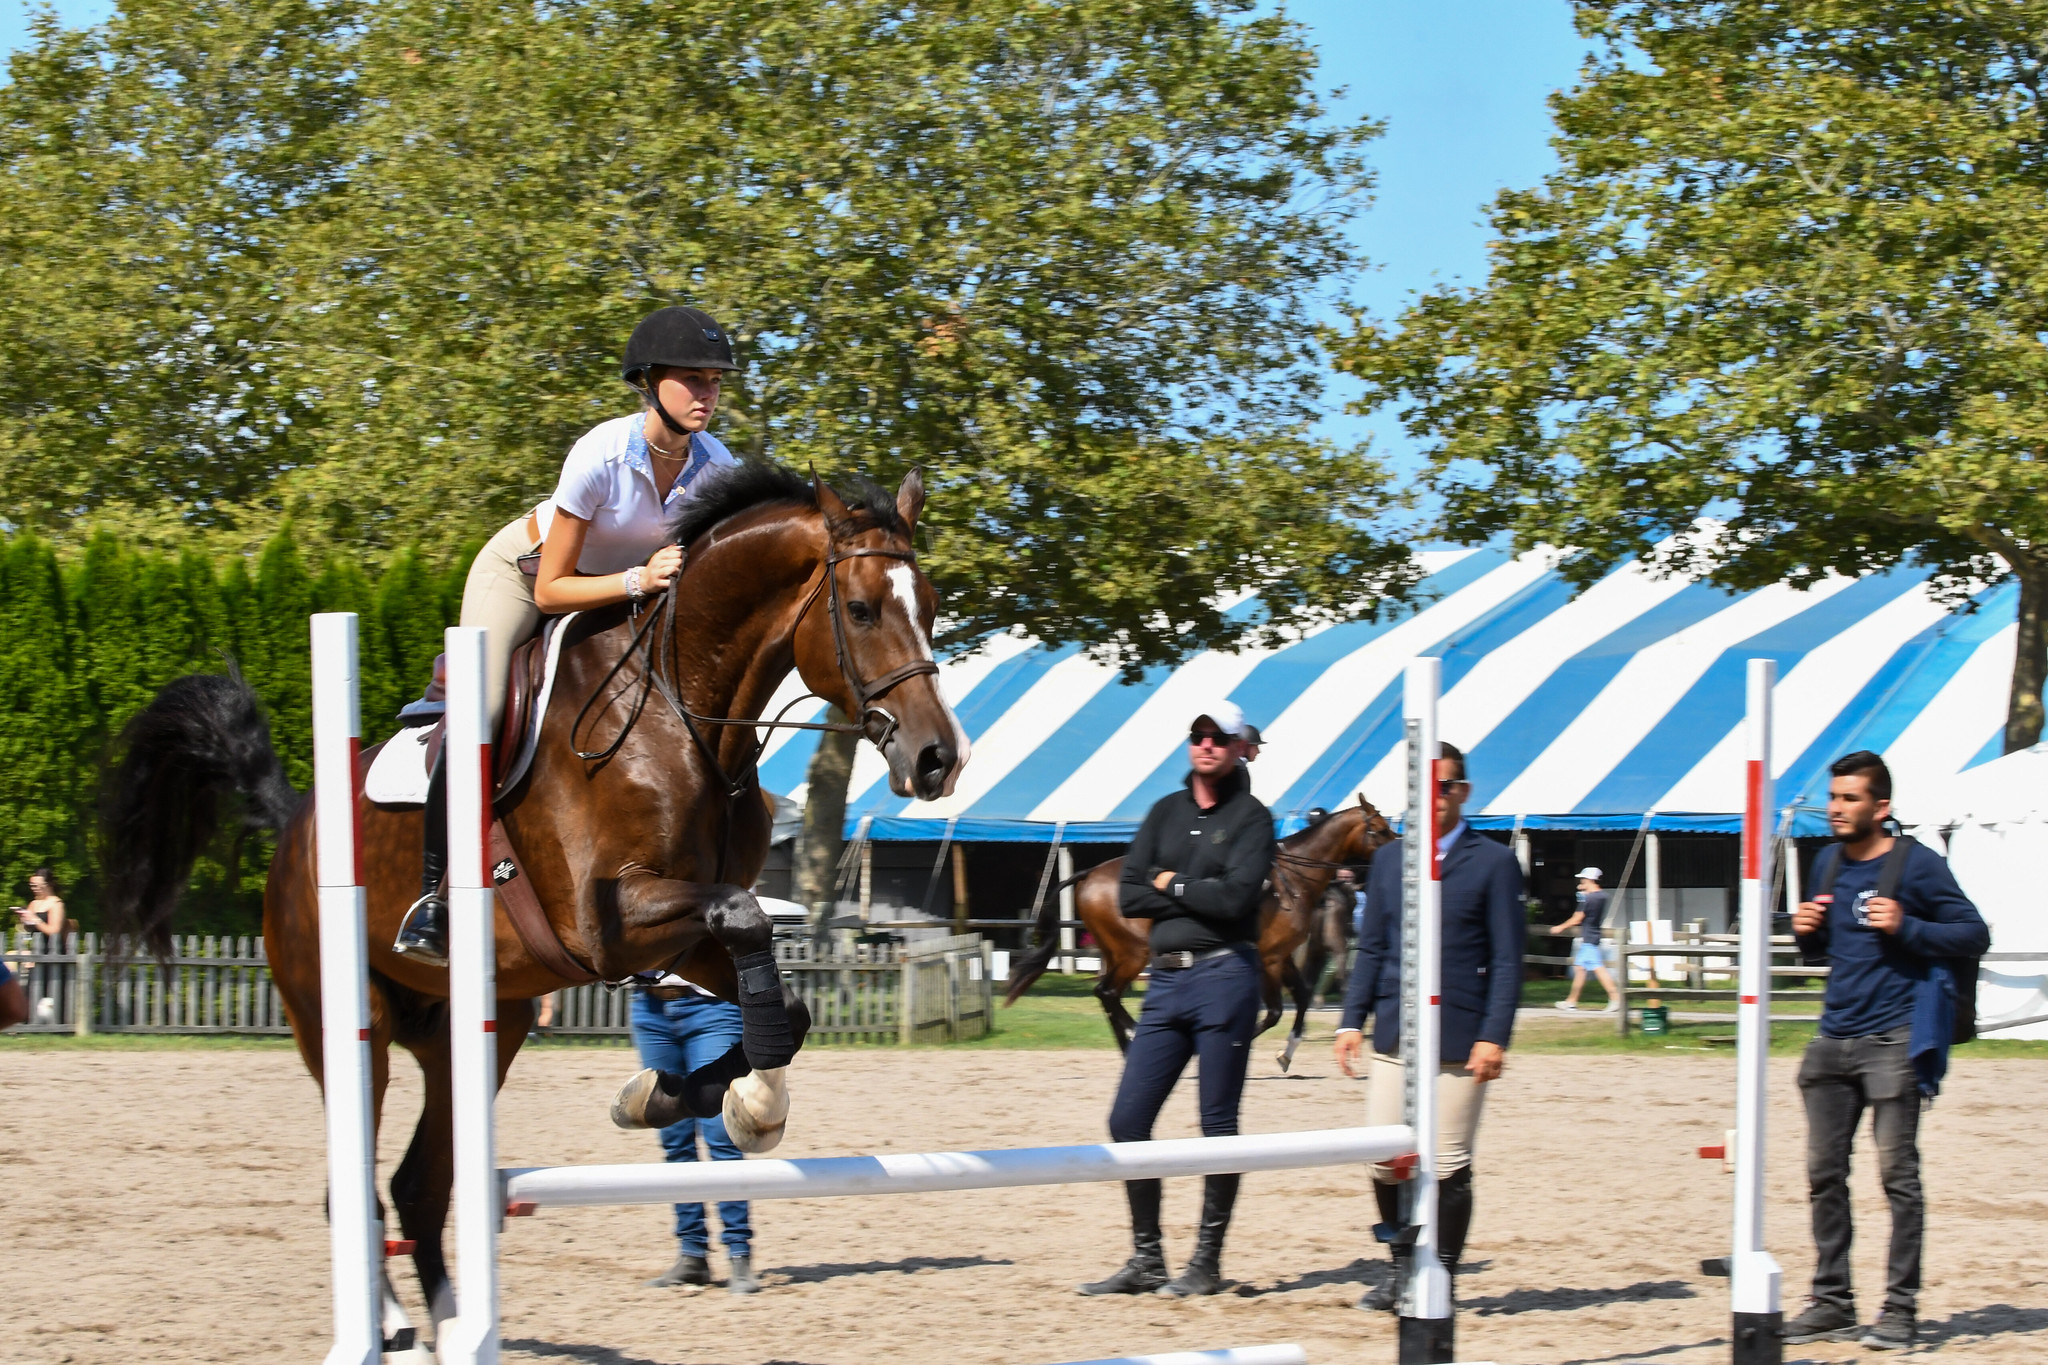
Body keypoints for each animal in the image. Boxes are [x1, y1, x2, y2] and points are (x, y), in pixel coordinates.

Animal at [105, 466, 974, 1358]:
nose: (938, 757)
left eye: (933, 603)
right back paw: (398, 1327)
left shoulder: (674, 940)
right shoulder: (609, 926)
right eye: (861, 609)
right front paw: (739, 1107)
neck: (677, 710)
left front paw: (689, 1097)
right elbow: (745, 916)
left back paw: (455, 1324)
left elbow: (778, 994)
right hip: (345, 1023)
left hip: (479, 1029)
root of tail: (297, 824)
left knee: (419, 1187)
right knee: (355, 1185)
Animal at [1003, 794, 1400, 1064]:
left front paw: (1287, 1054)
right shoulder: (1269, 960)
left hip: (1114, 951)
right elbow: (1272, 1012)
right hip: (1132, 952)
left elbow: (1299, 1000)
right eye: (1381, 830)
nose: (1401, 852)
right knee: (1109, 992)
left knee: (1105, 993)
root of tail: (1089, 874)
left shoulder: (1281, 956)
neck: (1294, 881)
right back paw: (1133, 1038)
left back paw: (1130, 1043)